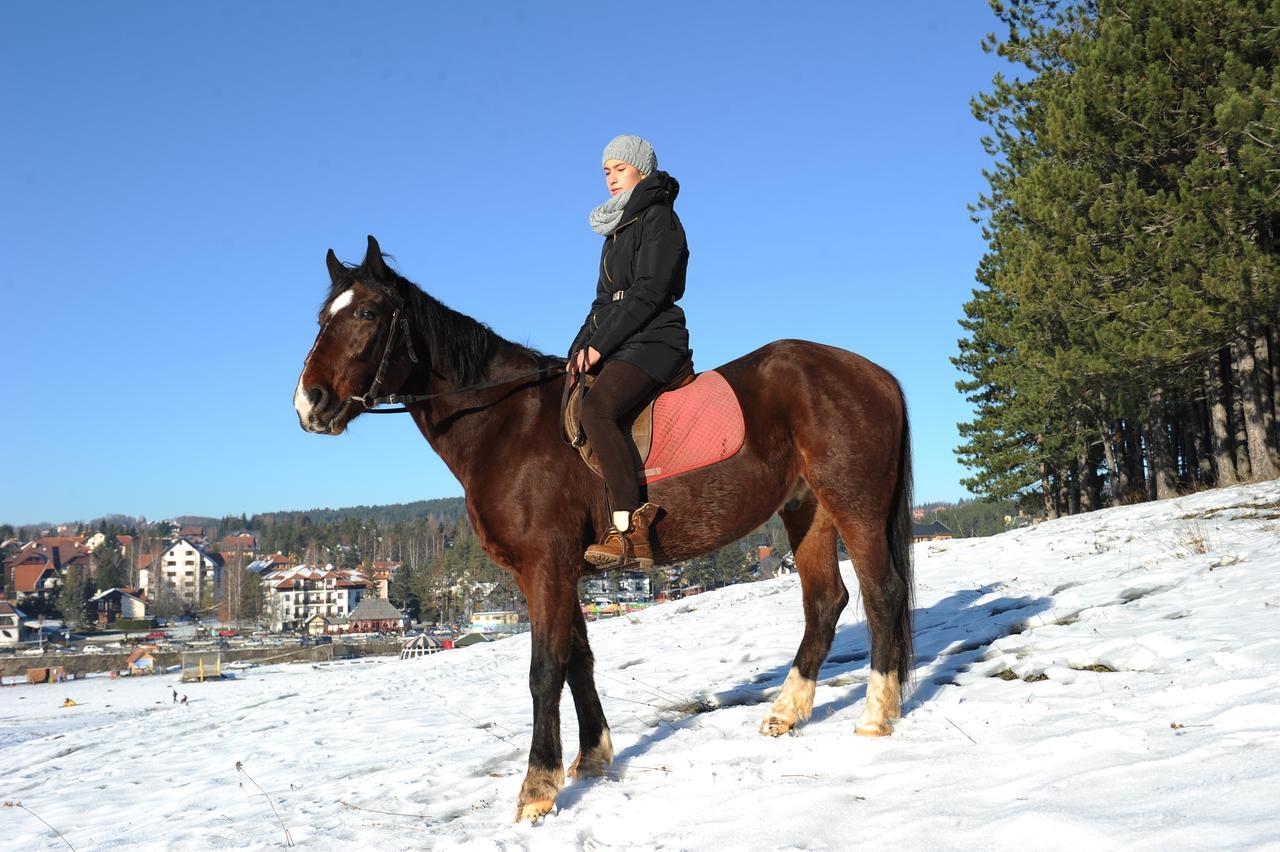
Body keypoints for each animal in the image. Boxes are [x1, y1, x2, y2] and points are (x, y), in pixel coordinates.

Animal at [294, 235, 916, 818]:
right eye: (323, 317)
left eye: (367, 313)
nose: (309, 403)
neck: (505, 425)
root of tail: (874, 373)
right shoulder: (555, 572)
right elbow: (578, 661)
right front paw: (592, 758)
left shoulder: (545, 567)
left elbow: (545, 670)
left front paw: (537, 790)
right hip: (806, 510)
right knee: (825, 602)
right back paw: (786, 713)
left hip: (854, 503)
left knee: (881, 593)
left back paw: (875, 717)